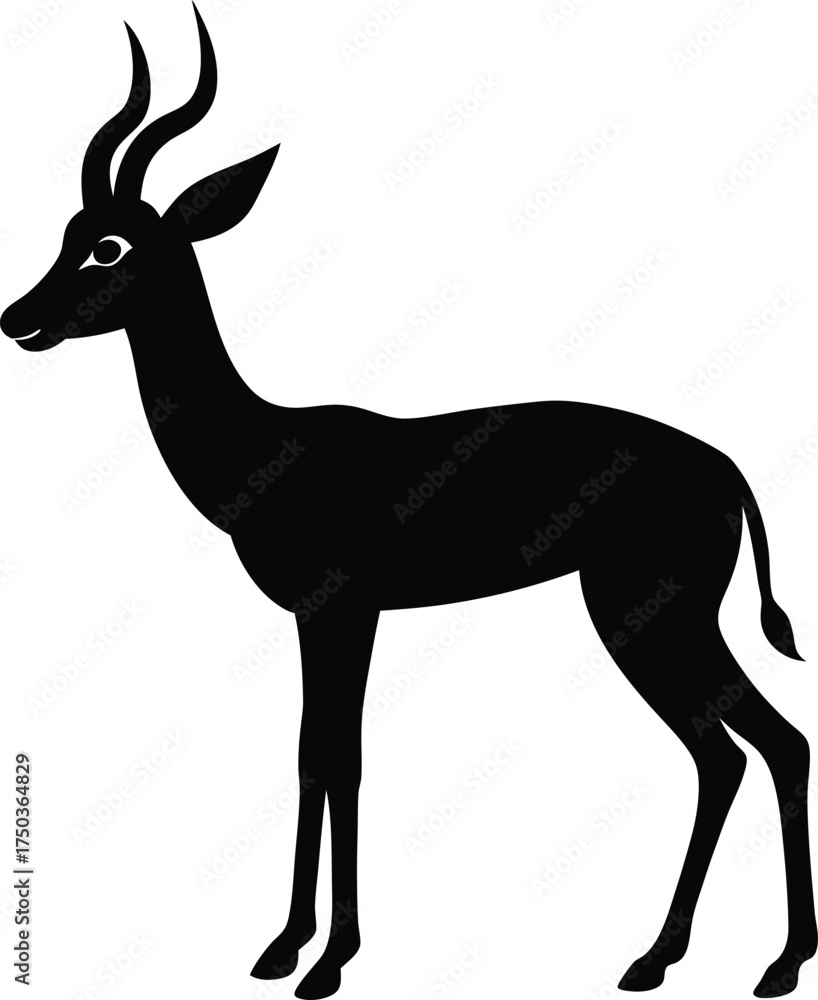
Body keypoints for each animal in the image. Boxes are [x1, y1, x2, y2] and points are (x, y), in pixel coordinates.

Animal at [2, 6, 815, 998]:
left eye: (109, 244)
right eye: (69, 228)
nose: (17, 318)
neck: (268, 449)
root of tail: (728, 468)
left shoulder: (344, 611)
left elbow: (342, 759)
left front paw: (327, 960)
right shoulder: (320, 618)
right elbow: (312, 756)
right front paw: (284, 948)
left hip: (650, 614)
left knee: (755, 746)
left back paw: (758, 963)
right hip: (660, 619)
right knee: (738, 751)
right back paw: (678, 959)